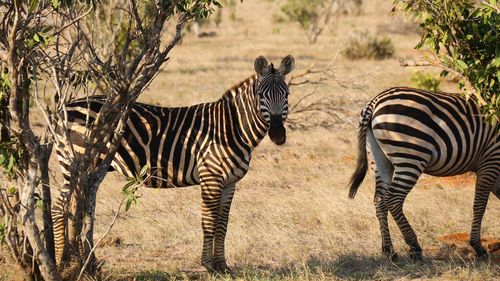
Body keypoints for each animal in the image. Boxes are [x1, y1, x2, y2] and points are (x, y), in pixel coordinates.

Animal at [51, 54, 292, 272]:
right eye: (261, 95)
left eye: (287, 94)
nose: (278, 135)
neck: (231, 128)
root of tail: (66, 106)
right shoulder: (210, 177)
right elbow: (209, 222)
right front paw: (208, 266)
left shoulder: (230, 182)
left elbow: (223, 223)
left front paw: (223, 266)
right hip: (74, 161)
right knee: (59, 206)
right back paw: (60, 261)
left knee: (79, 205)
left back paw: (80, 259)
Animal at [348, 87, 500, 260]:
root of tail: (375, 100)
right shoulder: (490, 159)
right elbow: (480, 205)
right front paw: (478, 247)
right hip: (411, 155)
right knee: (393, 198)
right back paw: (414, 247)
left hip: (379, 158)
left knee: (379, 199)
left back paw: (389, 251)